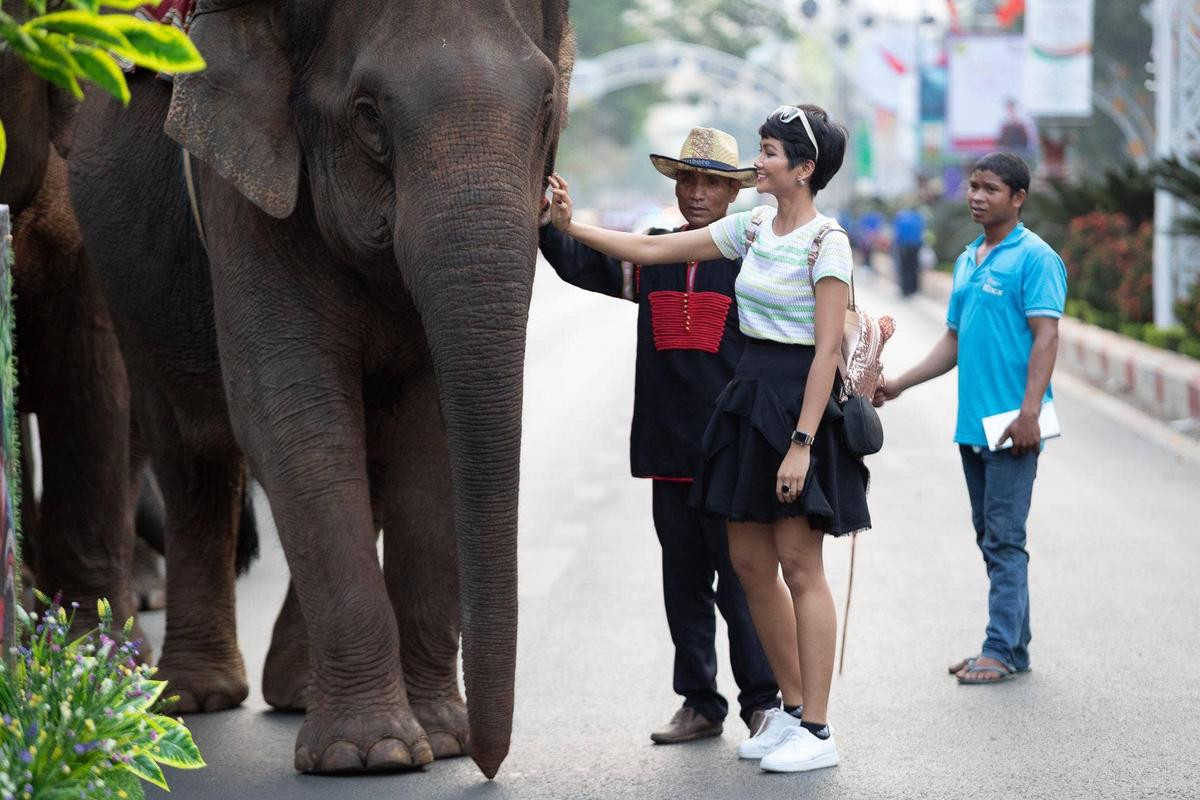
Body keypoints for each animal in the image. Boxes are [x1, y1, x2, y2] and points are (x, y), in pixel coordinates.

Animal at [68, 0, 573, 777]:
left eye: (546, 103)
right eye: (368, 114)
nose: (489, 766)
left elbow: (431, 429)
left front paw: (437, 738)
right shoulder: (243, 192)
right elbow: (290, 412)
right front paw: (374, 755)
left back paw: (298, 691)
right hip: (125, 281)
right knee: (190, 457)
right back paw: (195, 698)